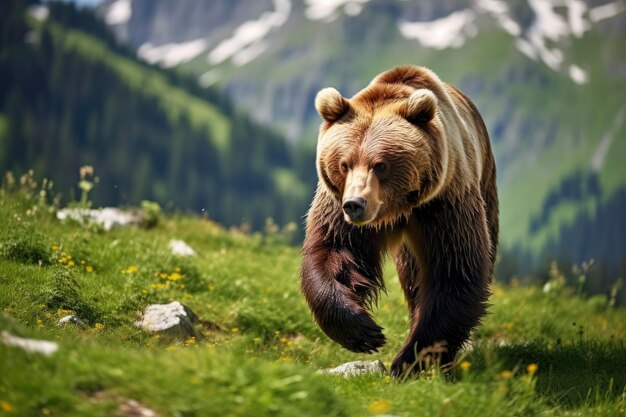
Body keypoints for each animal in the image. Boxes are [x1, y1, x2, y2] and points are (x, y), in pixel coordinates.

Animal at [298, 66, 498, 376]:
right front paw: (363, 332)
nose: (355, 204)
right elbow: (333, 250)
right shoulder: (338, 208)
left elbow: (454, 270)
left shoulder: (443, 204)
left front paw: (410, 358)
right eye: (344, 163)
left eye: (380, 164)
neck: (396, 209)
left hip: (485, 181)